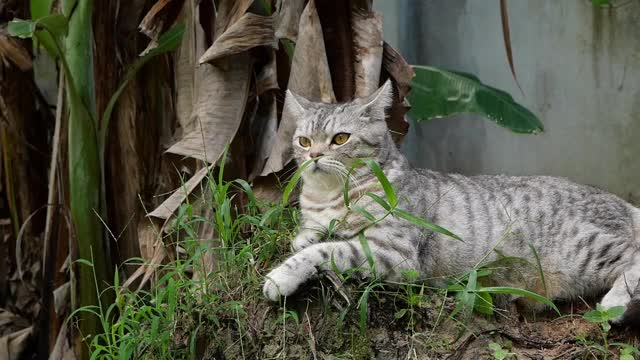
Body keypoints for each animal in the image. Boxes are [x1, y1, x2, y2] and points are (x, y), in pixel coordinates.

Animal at [262, 81, 640, 324]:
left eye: (340, 138)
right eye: (304, 140)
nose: (314, 155)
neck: (328, 197)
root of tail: (620, 202)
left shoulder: (392, 254)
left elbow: (324, 251)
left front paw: (281, 276)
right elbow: (310, 238)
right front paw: (307, 238)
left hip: (587, 249)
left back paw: (615, 303)